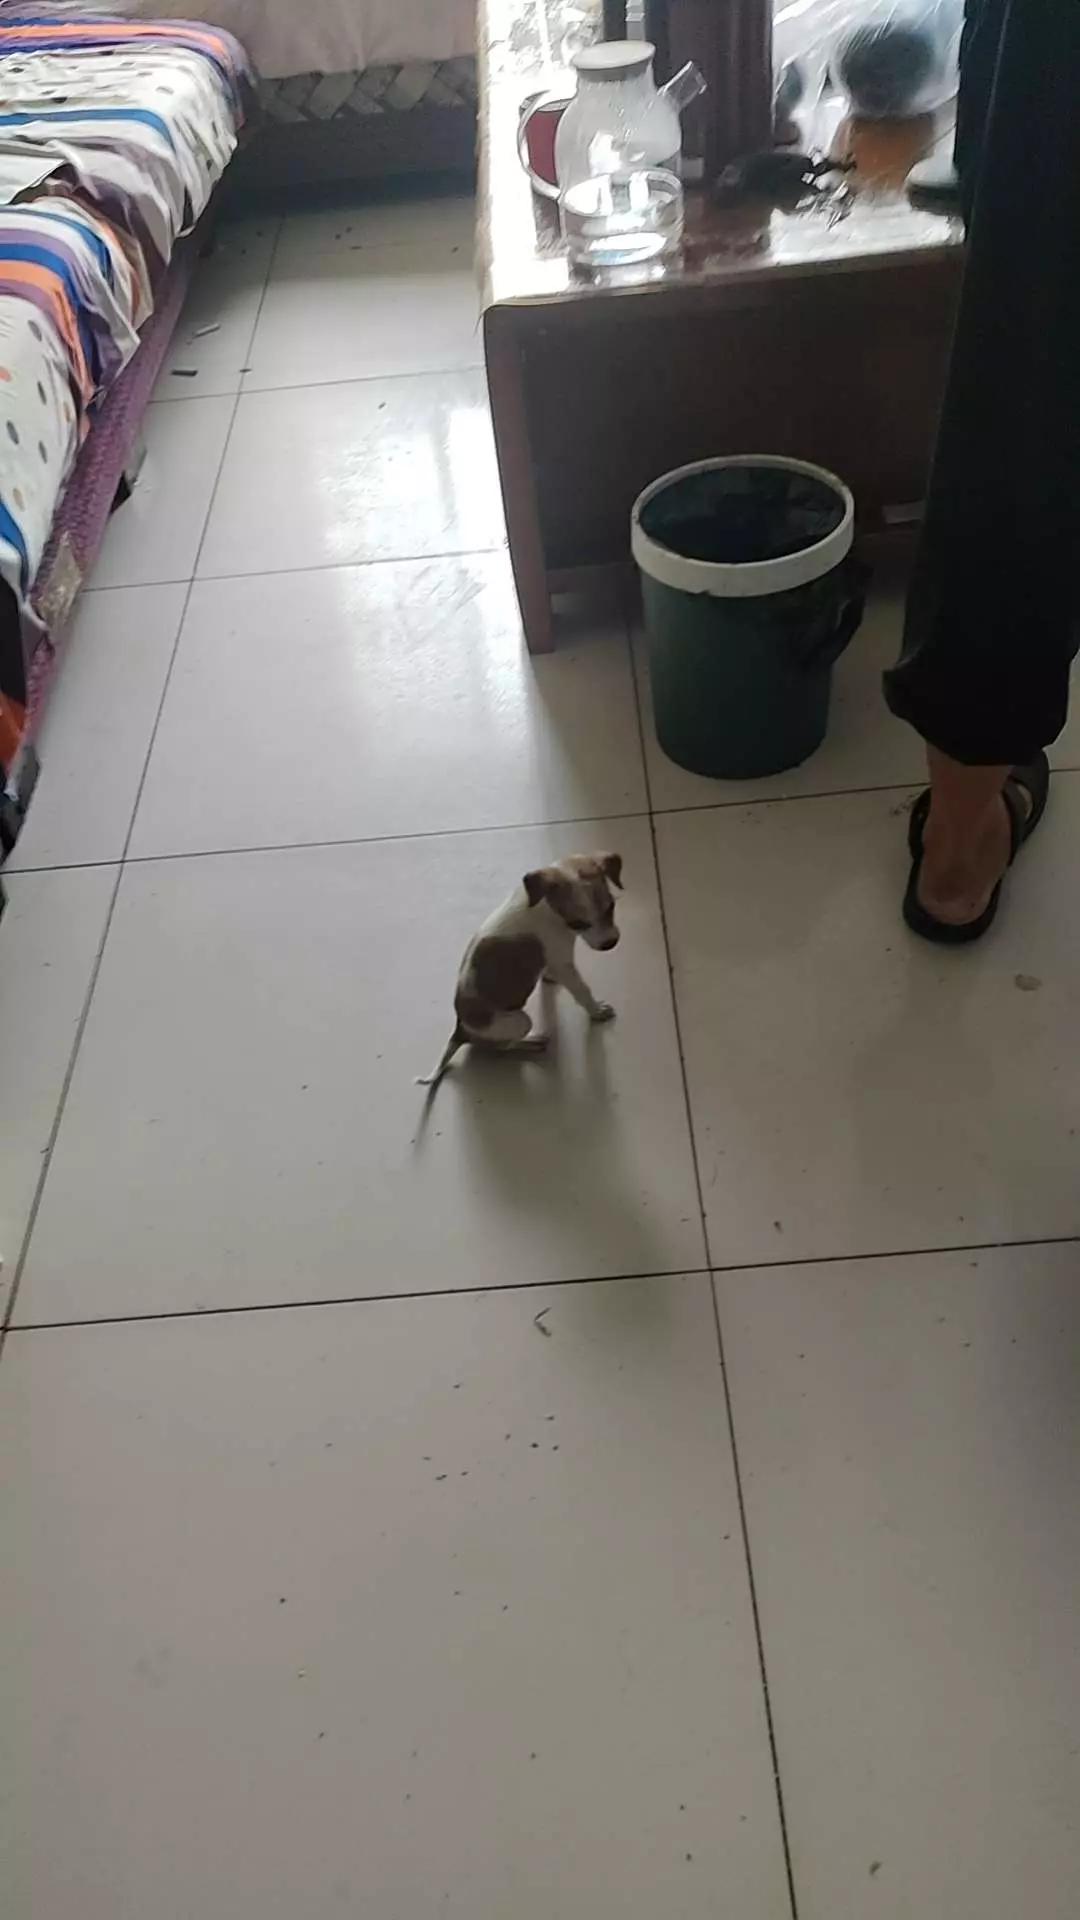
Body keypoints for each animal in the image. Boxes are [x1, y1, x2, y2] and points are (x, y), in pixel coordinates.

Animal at [418, 852, 623, 1089]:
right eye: (577, 923)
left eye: (611, 907)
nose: (610, 944)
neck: (546, 908)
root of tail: (460, 1031)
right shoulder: (563, 964)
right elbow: (583, 991)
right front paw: (596, 1011)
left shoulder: (555, 960)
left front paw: (548, 976)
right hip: (520, 1021)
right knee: (504, 1046)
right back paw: (531, 1041)